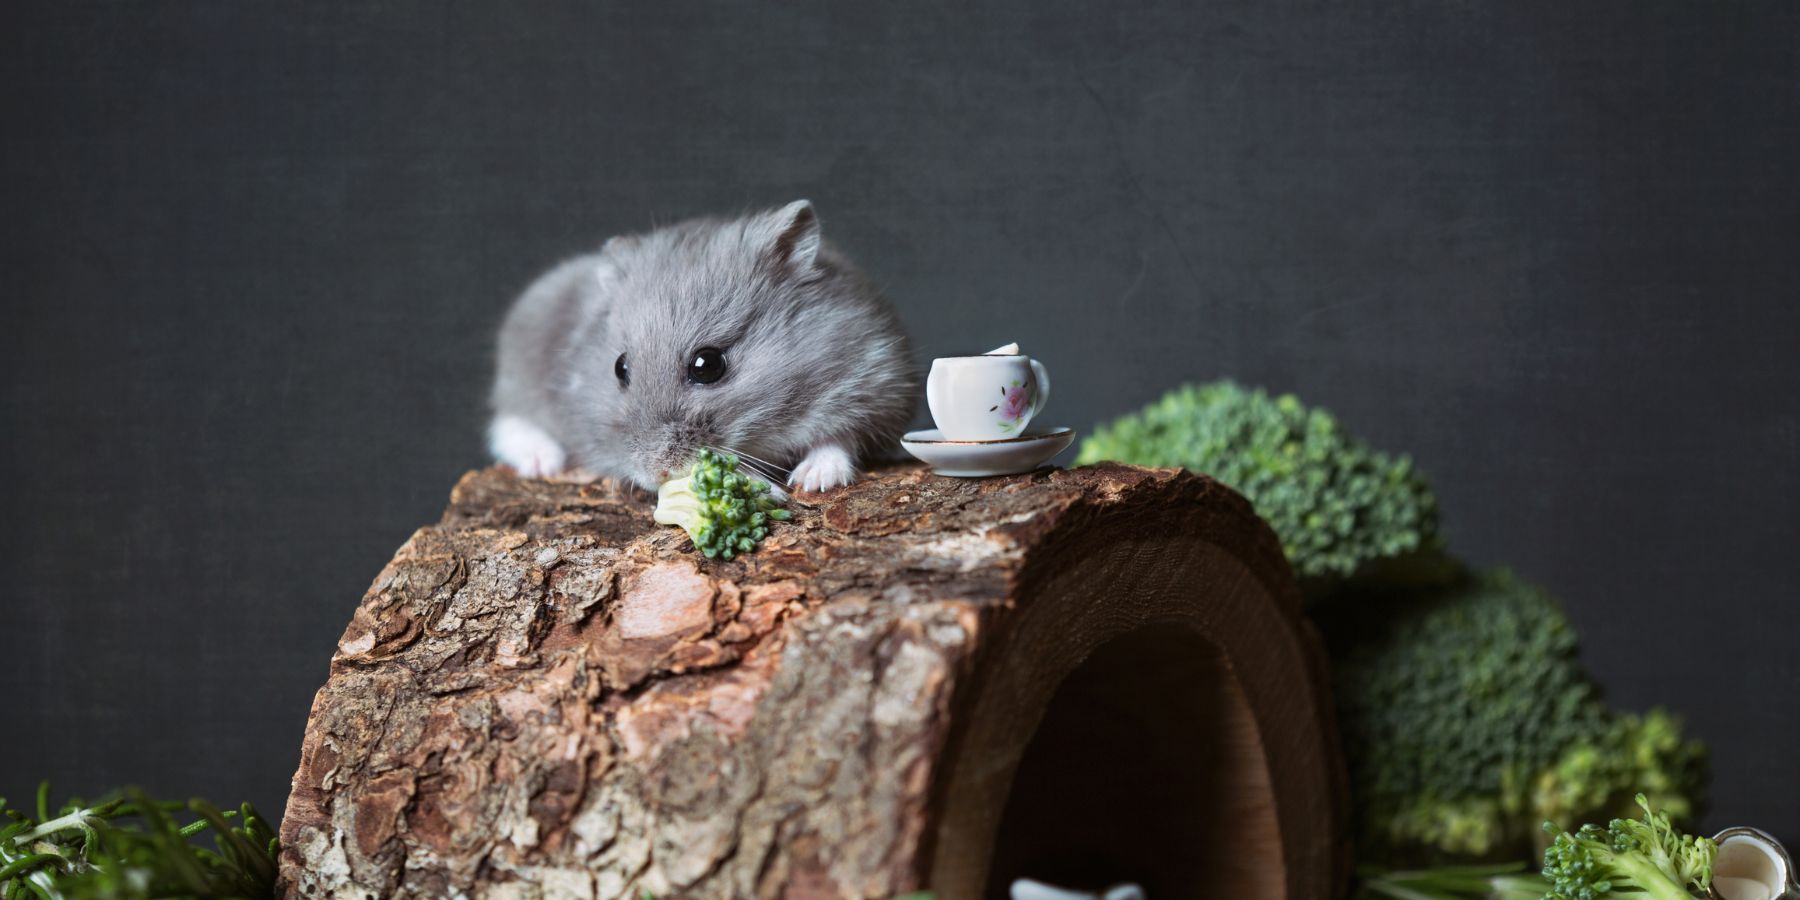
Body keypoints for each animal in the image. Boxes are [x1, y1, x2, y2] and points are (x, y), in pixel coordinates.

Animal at [488, 200, 915, 493]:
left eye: (707, 365)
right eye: (619, 368)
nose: (656, 474)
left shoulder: (875, 381)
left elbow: (839, 438)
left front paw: (812, 481)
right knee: (508, 422)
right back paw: (543, 462)